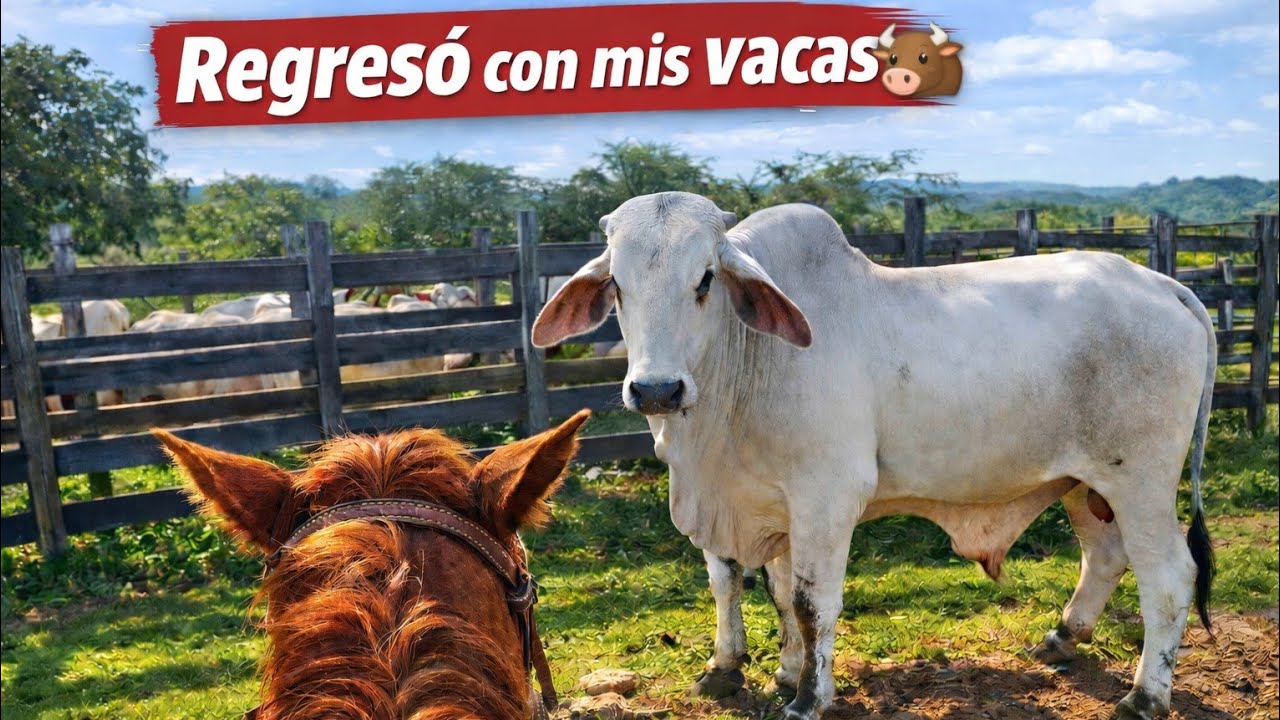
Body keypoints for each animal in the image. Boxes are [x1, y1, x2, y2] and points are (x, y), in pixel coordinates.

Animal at [531, 192, 1216, 720]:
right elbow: (744, 584)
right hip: (1083, 482)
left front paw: (808, 697)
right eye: (617, 285)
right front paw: (739, 670)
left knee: (1168, 577)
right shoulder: (754, 501)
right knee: (1105, 556)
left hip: (1140, 479)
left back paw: (1144, 698)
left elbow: (810, 603)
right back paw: (1061, 639)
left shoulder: (826, 496)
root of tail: (1166, 286)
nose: (656, 390)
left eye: (705, 279)